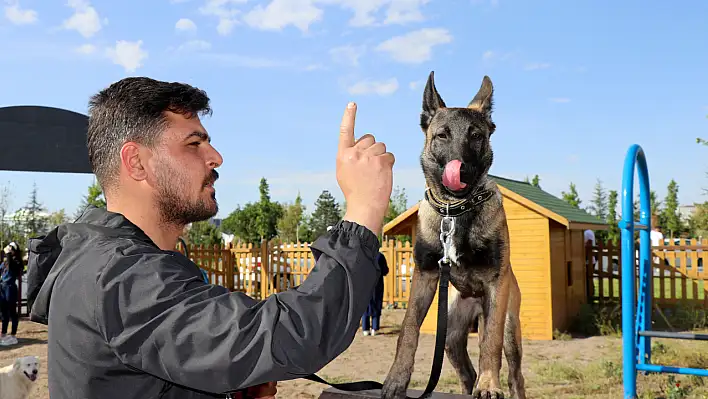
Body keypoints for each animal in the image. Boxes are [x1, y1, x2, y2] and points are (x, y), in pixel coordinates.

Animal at [382, 72, 524, 399]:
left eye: (476, 135)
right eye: (442, 136)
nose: (461, 171)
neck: (455, 211)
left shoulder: (496, 286)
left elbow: (490, 344)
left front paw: (489, 385)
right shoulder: (424, 276)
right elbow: (408, 330)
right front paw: (396, 380)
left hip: (509, 327)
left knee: (514, 374)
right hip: (449, 333)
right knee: (466, 371)